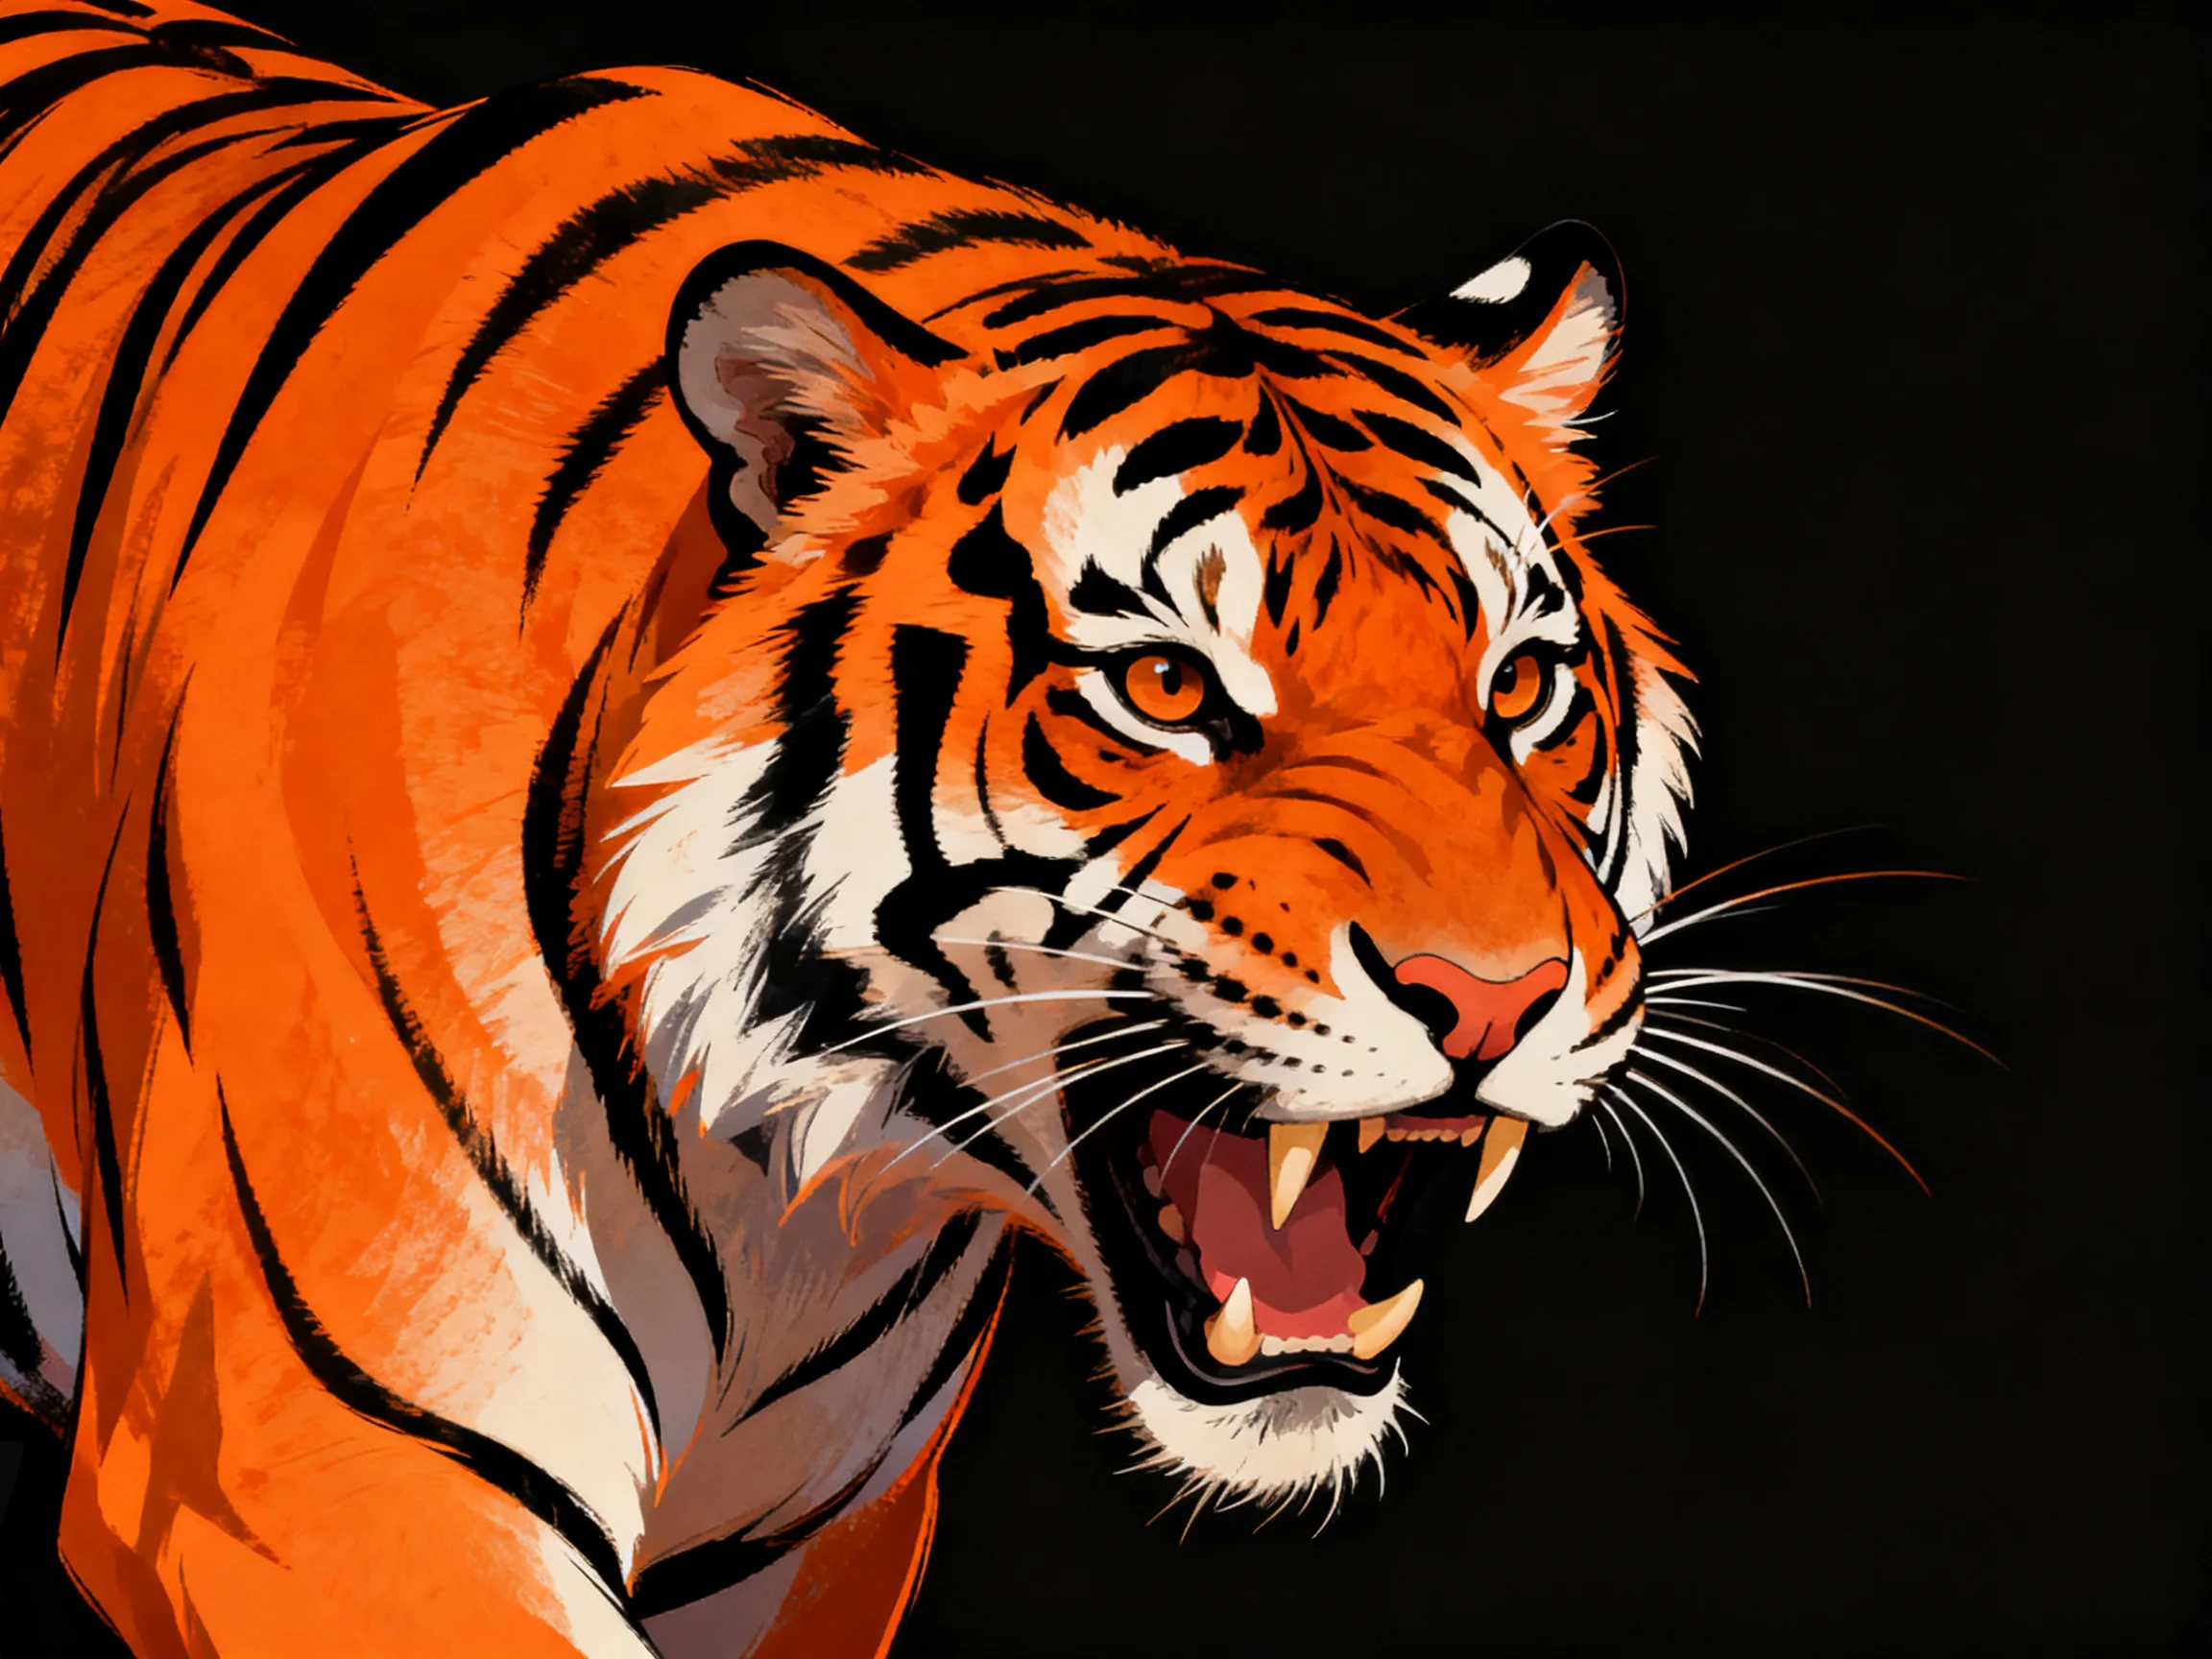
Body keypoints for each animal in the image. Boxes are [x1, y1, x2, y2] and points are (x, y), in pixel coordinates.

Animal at [0, 2, 1699, 1654]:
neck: (788, 1176)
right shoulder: (303, 1470)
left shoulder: (812, 1549)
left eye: (1522, 685)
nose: (1493, 1000)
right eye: (1164, 684)